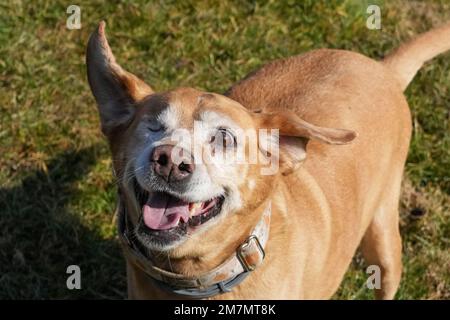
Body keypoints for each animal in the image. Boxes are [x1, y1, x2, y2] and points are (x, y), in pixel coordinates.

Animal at [86, 22, 448, 300]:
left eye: (224, 138)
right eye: (153, 126)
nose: (170, 161)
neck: (198, 275)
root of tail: (383, 69)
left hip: (384, 240)